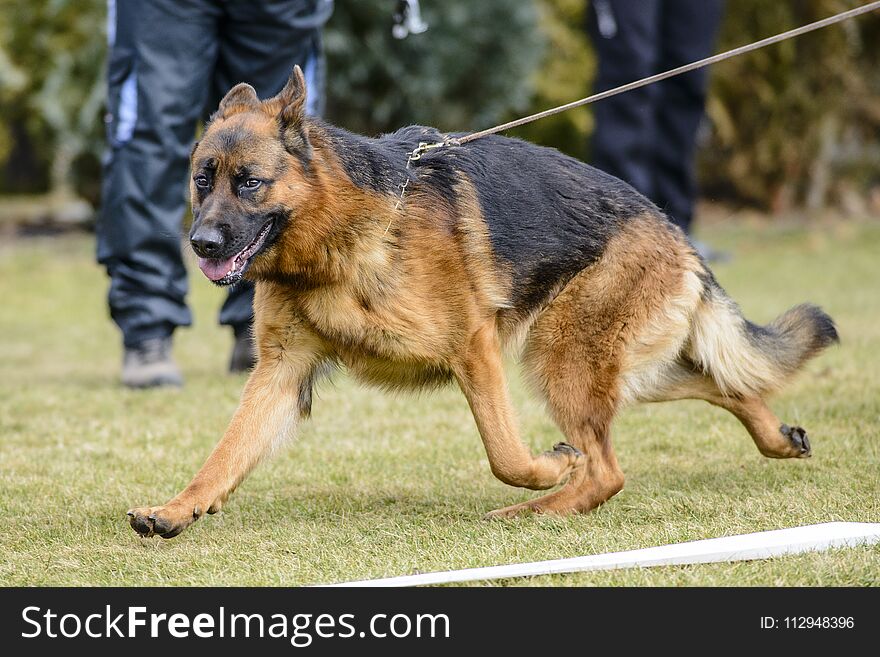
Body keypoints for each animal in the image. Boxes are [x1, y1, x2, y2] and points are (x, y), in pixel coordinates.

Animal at [127, 66, 836, 540]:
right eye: (201, 181)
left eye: (249, 183)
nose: (200, 243)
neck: (339, 236)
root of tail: (678, 234)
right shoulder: (279, 372)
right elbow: (223, 456)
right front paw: (177, 509)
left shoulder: (475, 348)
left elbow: (504, 454)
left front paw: (548, 468)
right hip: (612, 364)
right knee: (723, 383)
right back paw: (777, 438)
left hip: (561, 359)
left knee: (607, 470)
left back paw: (537, 508)